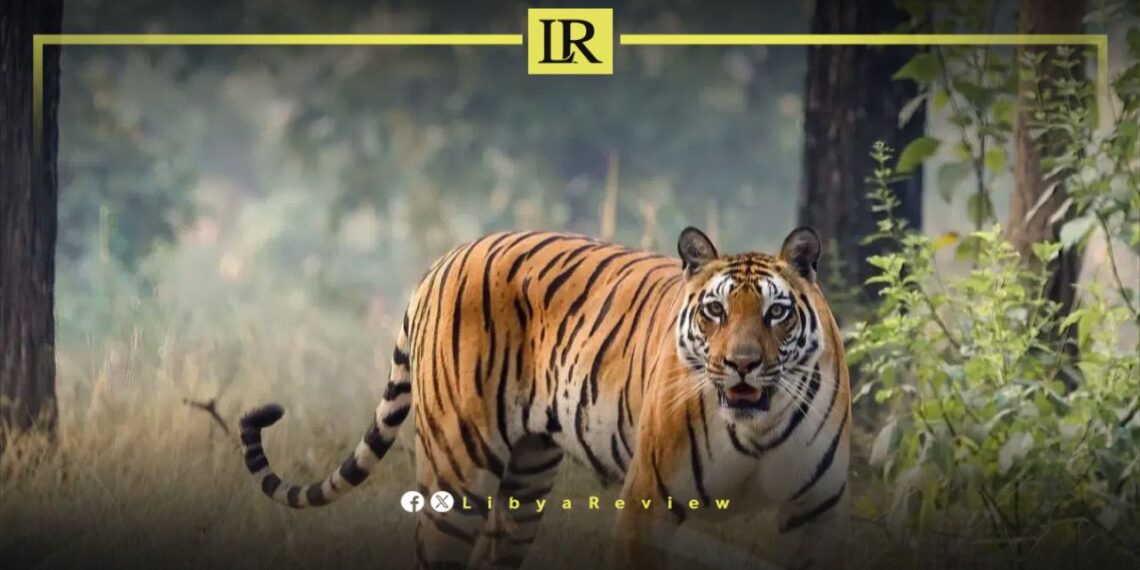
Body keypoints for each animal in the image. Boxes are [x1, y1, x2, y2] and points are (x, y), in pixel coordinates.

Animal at [239, 226, 851, 569]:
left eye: (776, 311)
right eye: (715, 311)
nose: (743, 364)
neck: (757, 427)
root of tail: (445, 258)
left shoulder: (814, 514)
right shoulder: (649, 502)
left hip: (526, 476)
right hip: (456, 471)